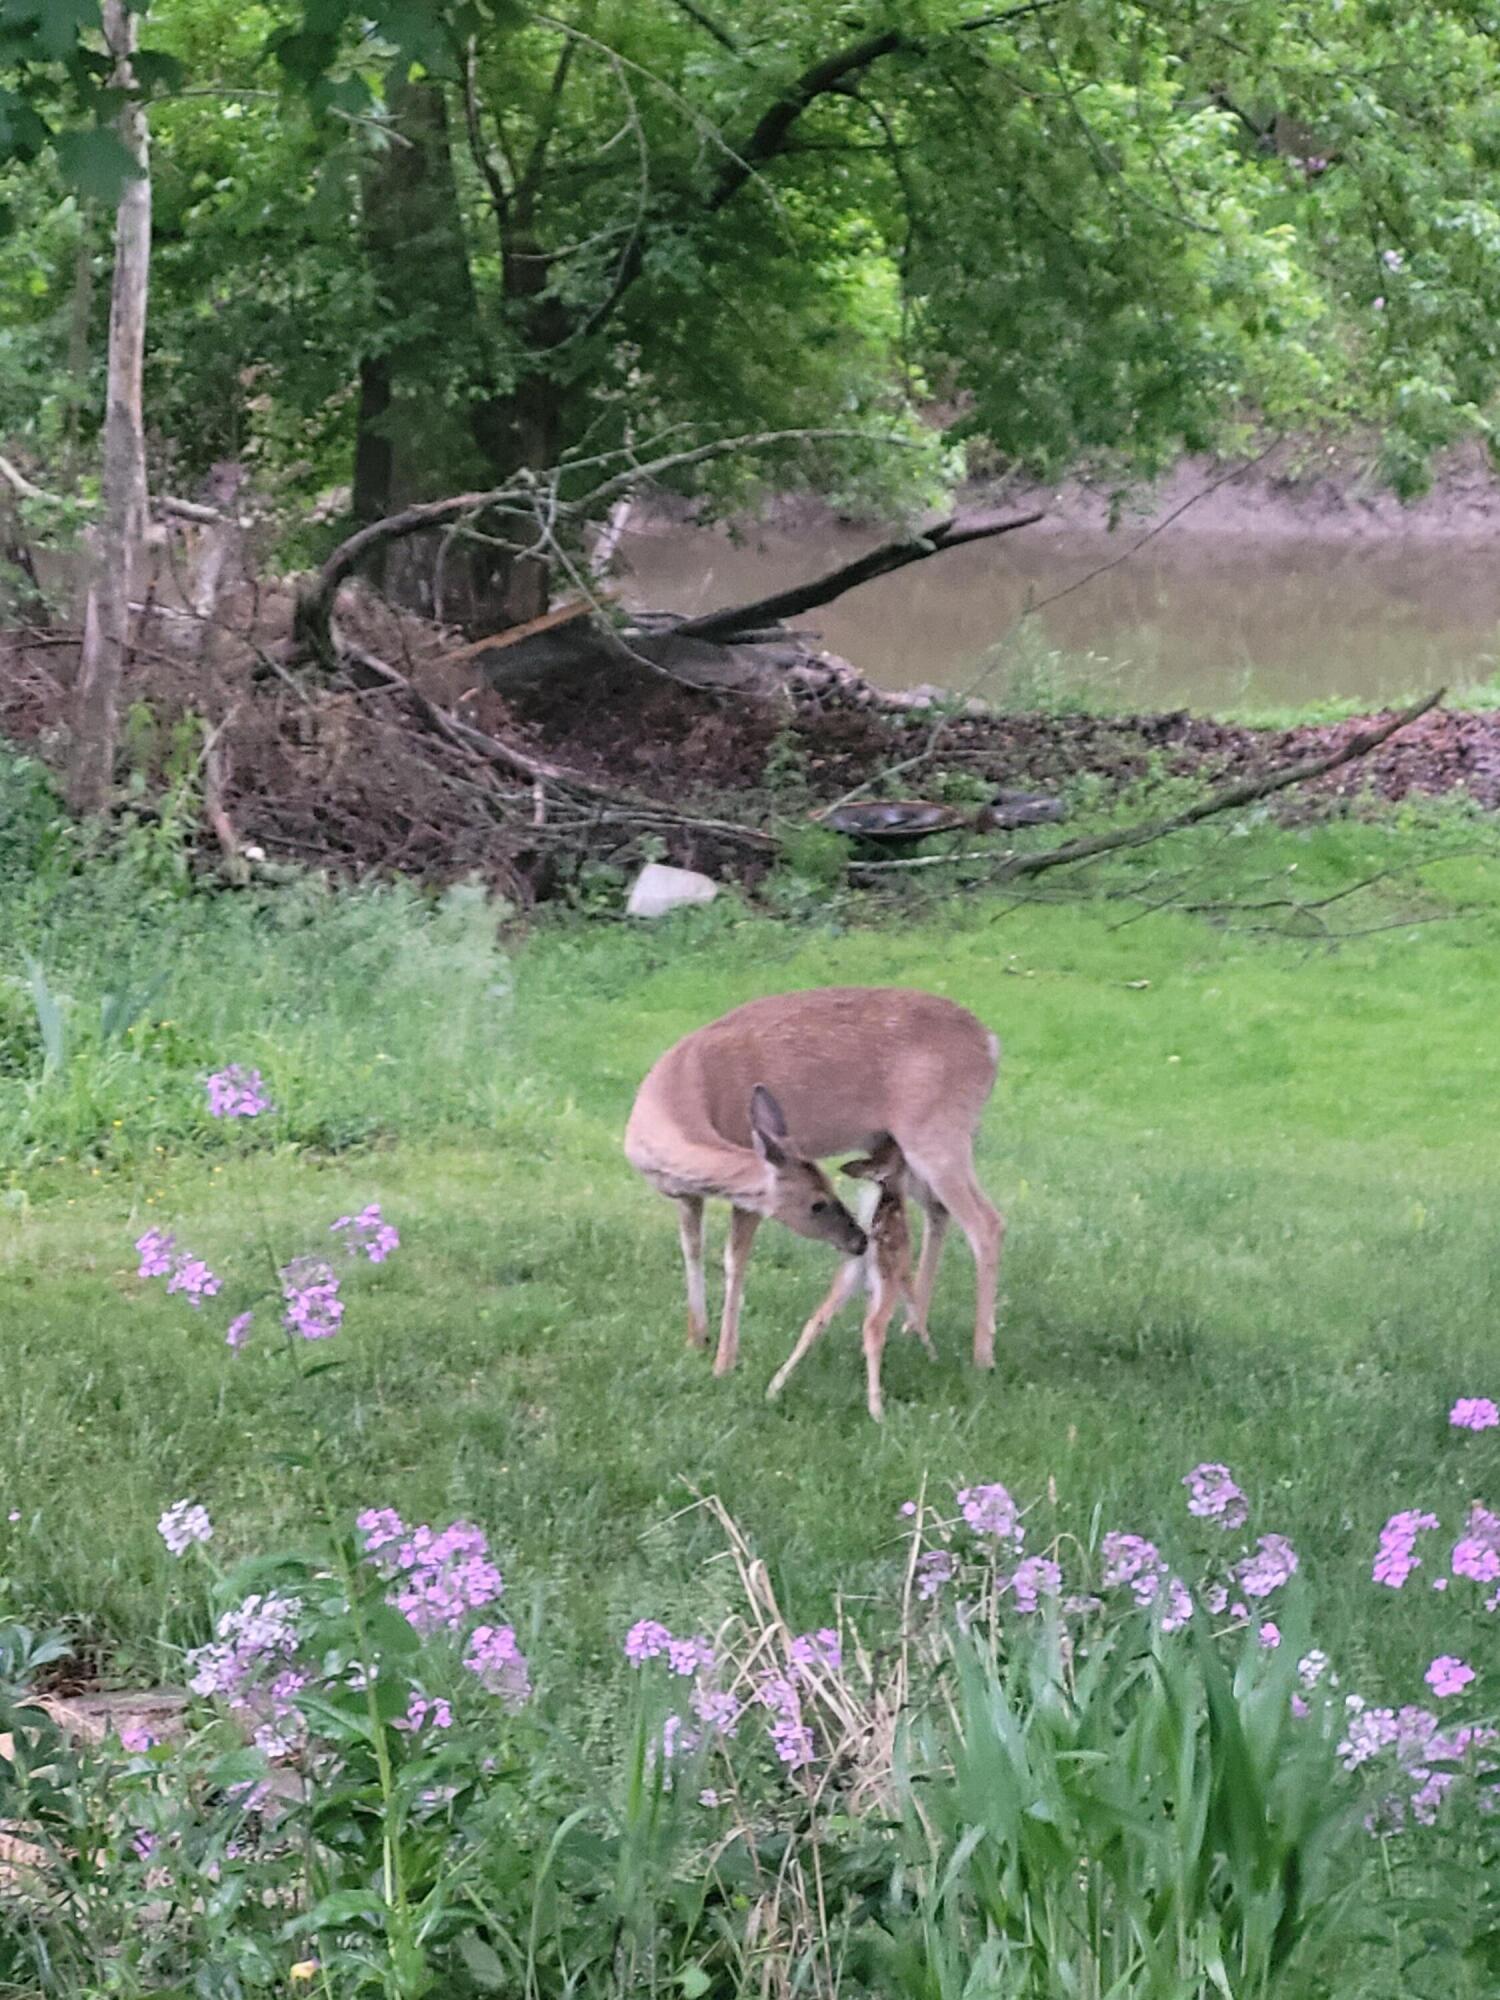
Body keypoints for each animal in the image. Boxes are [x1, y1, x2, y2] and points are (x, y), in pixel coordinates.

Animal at [628, 984, 1004, 1376]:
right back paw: (913, 1327)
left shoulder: (748, 1196)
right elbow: (692, 1248)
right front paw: (695, 1340)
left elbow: (734, 1259)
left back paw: (982, 1356)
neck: (678, 1097)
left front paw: (724, 1361)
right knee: (938, 1211)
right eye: (819, 1203)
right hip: (896, 1148)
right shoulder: (686, 1195)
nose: (857, 1240)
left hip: (938, 1132)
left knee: (987, 1224)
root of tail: (991, 1043)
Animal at [768, 1144, 936, 1424]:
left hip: (847, 1275)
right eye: (899, 1157)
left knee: (817, 1320)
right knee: (874, 1327)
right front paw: (932, 1354)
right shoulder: (902, 1272)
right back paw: (877, 1409)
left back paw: (774, 1386)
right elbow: (916, 1312)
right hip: (886, 1278)